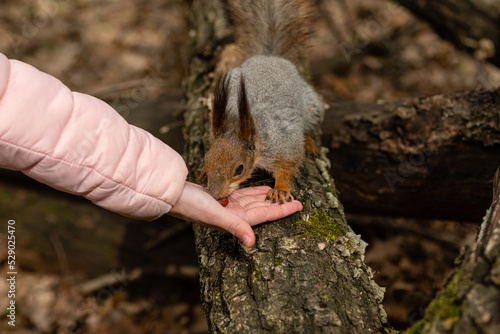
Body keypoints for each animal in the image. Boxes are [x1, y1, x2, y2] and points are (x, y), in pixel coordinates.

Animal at [199, 0, 324, 205]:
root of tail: (270, 58)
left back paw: (310, 142)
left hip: (313, 107)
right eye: (205, 159)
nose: (215, 196)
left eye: (239, 169)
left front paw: (280, 189)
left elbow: (288, 167)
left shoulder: (284, 146)